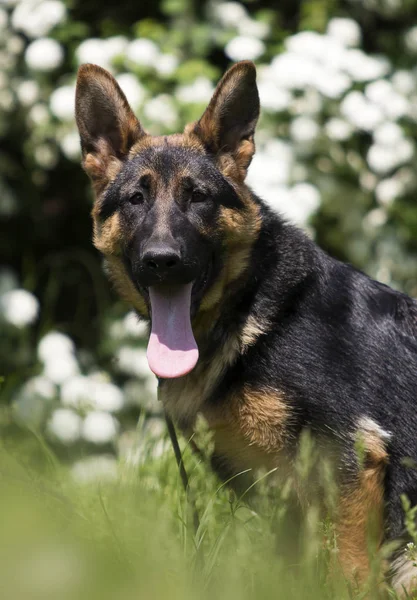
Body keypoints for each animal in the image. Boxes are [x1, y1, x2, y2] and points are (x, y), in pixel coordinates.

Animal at [76, 61, 416, 596]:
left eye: (198, 198)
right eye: (135, 200)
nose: (161, 261)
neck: (251, 311)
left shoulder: (351, 462)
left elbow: (350, 573)